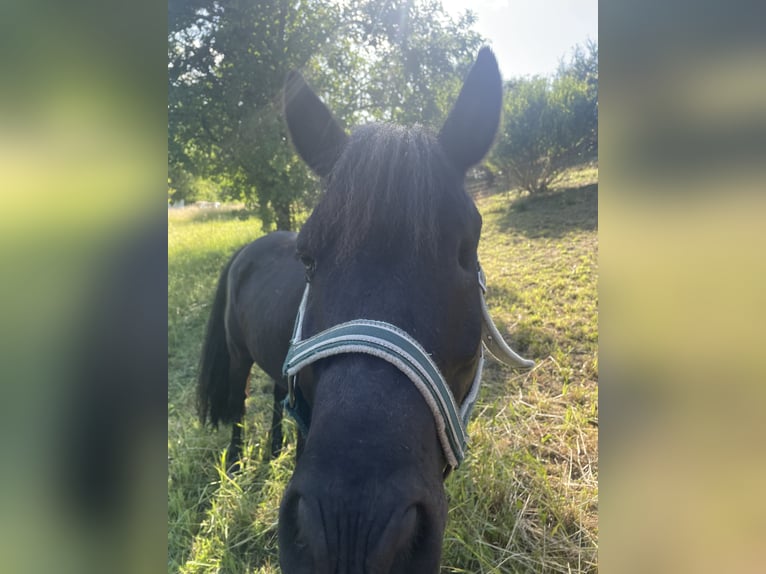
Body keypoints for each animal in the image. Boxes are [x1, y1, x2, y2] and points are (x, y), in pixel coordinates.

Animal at [196, 47, 533, 573]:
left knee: (274, 395)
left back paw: (272, 450)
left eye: (465, 253)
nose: (351, 530)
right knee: (237, 404)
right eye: (308, 258)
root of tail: (247, 249)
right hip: (236, 357)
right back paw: (234, 468)